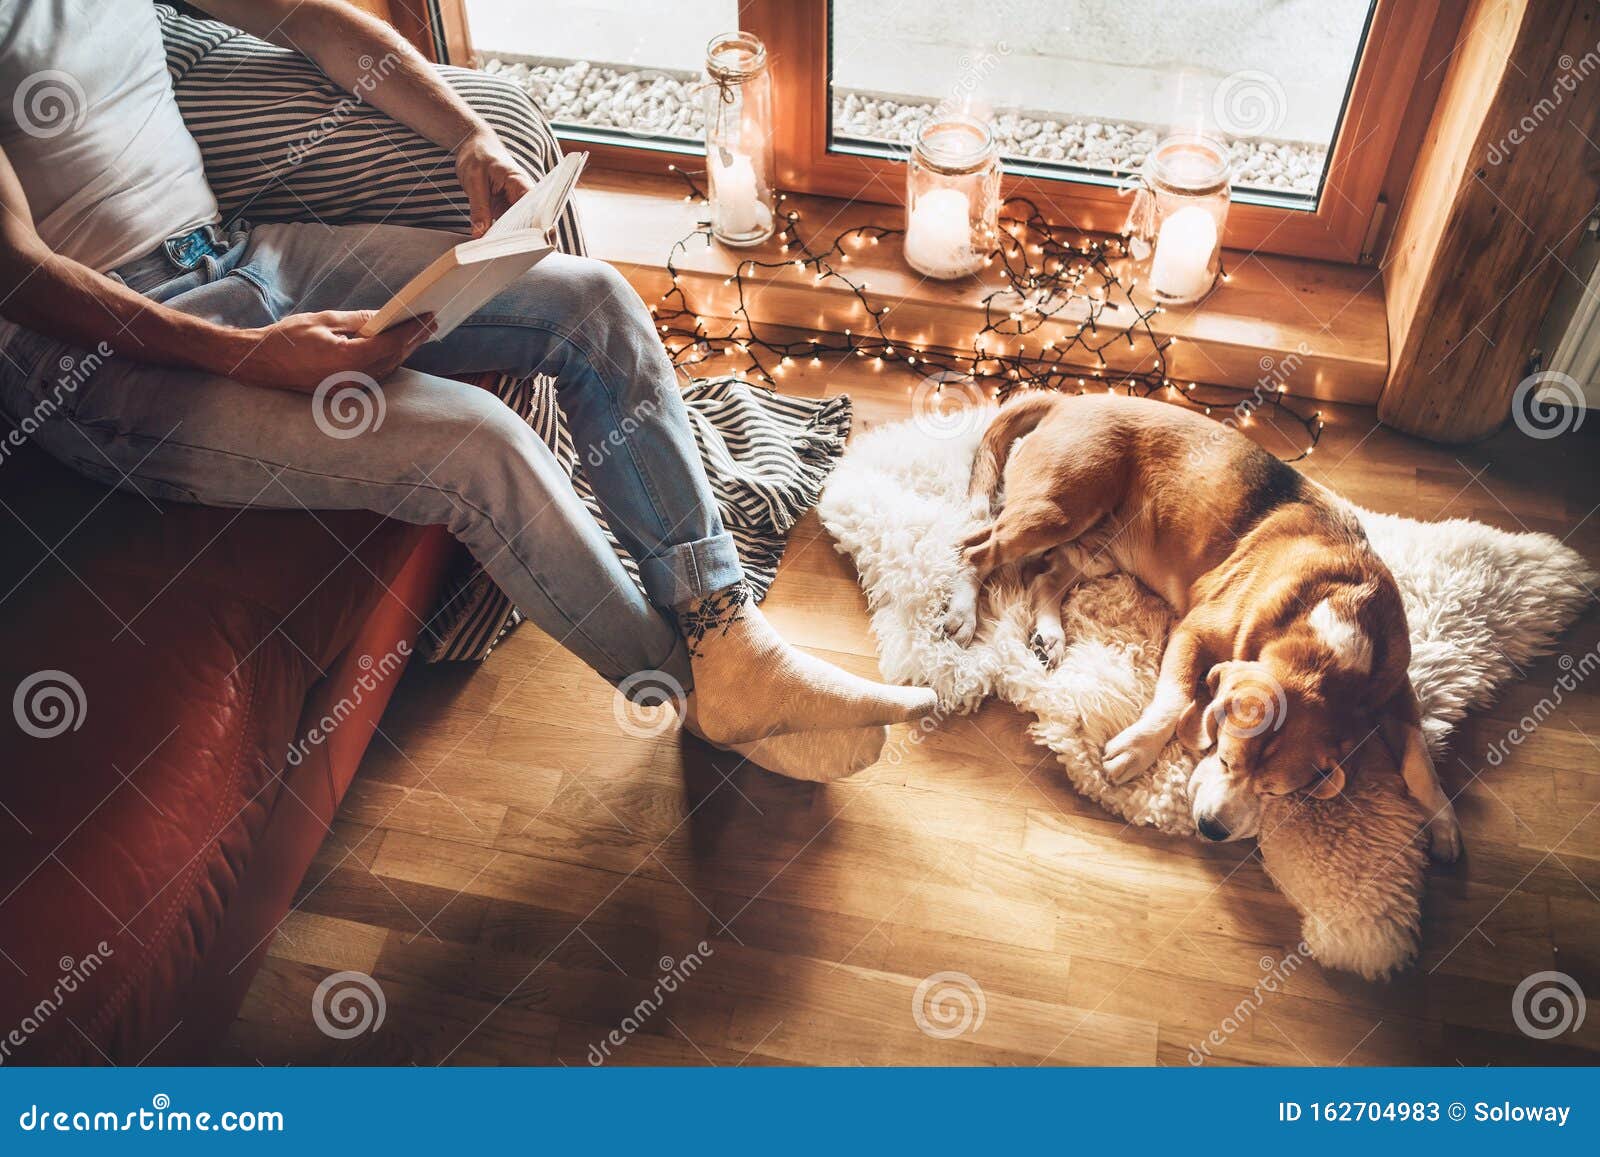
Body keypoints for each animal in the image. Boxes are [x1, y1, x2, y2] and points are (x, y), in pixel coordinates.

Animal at [947, 393, 1465, 857]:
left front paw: (1443, 822)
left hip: (1096, 549)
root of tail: (1072, 399)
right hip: (1058, 510)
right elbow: (1176, 700)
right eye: (1224, 756)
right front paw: (1133, 751)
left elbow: (1419, 759)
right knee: (974, 550)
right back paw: (962, 612)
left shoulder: (1397, 689)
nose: (1212, 829)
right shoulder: (1194, 632)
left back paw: (1050, 634)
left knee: (1046, 578)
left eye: (1275, 791)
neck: (1336, 622)